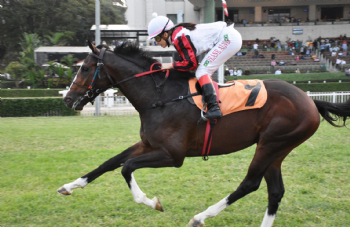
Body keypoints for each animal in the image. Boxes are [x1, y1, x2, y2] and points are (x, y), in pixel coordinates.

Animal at [58, 41, 350, 226]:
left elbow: (126, 167)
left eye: (85, 68)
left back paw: (200, 217)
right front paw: (69, 186)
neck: (159, 97)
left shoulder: (173, 156)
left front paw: (152, 202)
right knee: (275, 191)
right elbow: (109, 163)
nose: (67, 99)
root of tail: (310, 100)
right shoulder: (148, 144)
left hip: (271, 144)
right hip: (276, 149)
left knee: (250, 184)